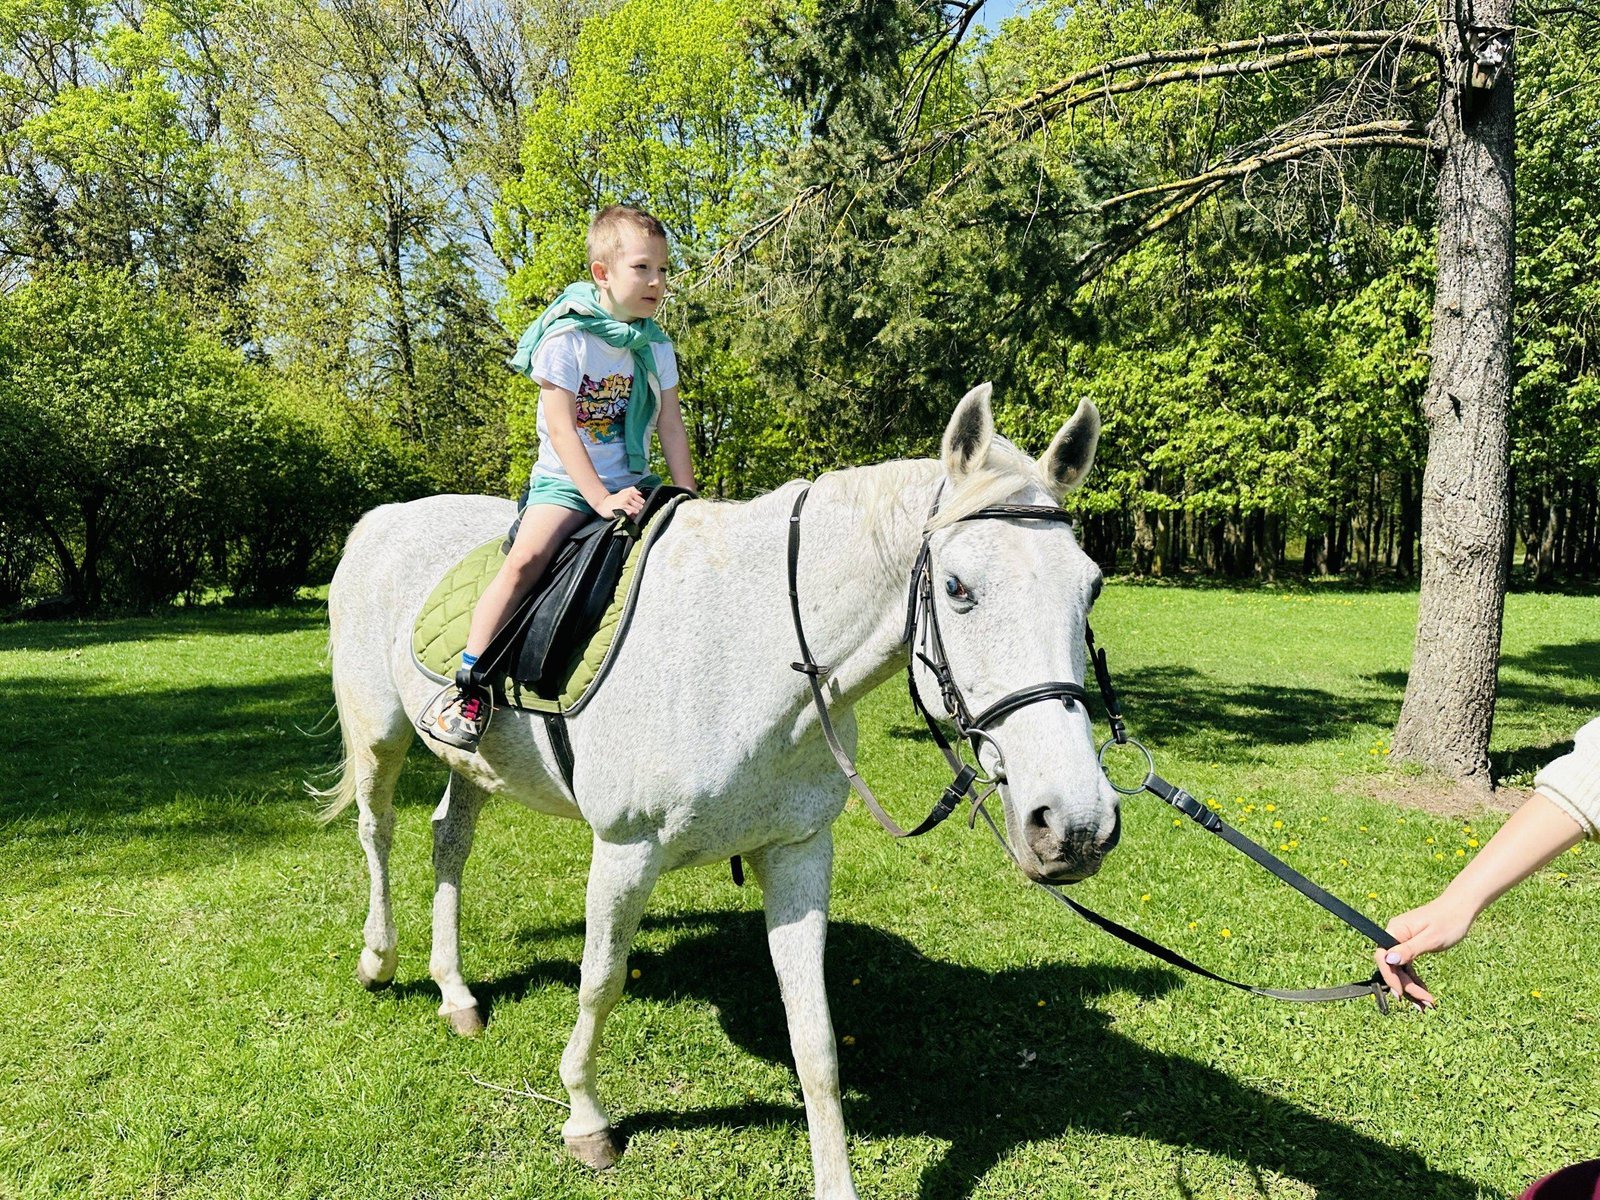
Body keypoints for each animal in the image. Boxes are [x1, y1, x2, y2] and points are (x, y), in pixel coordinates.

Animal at [320, 382, 1120, 1200]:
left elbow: (814, 1035)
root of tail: (380, 520)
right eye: (957, 589)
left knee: (449, 838)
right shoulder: (625, 851)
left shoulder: (798, 851)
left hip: (476, 763)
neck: (756, 654)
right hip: (380, 733)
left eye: (1090, 587)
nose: (1075, 825)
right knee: (378, 832)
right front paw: (585, 1118)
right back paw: (379, 960)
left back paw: (455, 993)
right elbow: (600, 981)